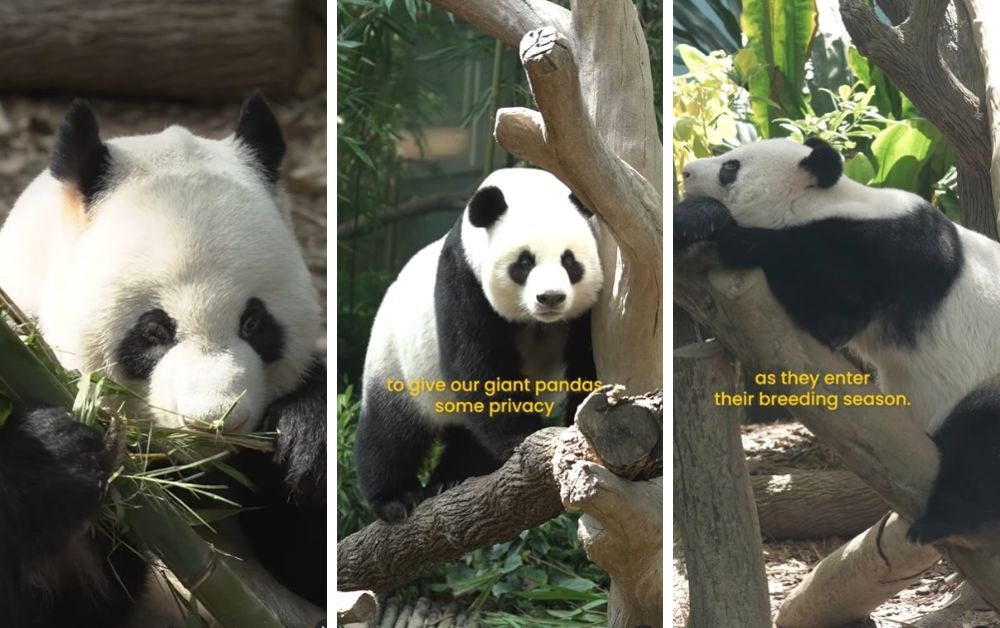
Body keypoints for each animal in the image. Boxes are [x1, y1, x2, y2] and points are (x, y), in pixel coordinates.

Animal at [0, 96, 326, 626]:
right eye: (154, 331)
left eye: (253, 322)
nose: (215, 421)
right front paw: (53, 454)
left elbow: (310, 565)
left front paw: (305, 435)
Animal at [355, 168, 603, 523]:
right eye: (524, 263)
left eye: (569, 262)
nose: (551, 298)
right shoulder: (462, 276)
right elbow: (477, 364)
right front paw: (523, 439)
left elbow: (587, 359)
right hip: (396, 359)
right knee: (389, 431)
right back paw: (396, 497)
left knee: (468, 438)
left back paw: (451, 477)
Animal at [677, 137, 1000, 549]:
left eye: (730, 168)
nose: (686, 171)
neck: (827, 202)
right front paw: (692, 219)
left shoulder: (889, 253)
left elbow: (824, 305)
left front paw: (715, 228)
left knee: (980, 445)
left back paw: (939, 521)